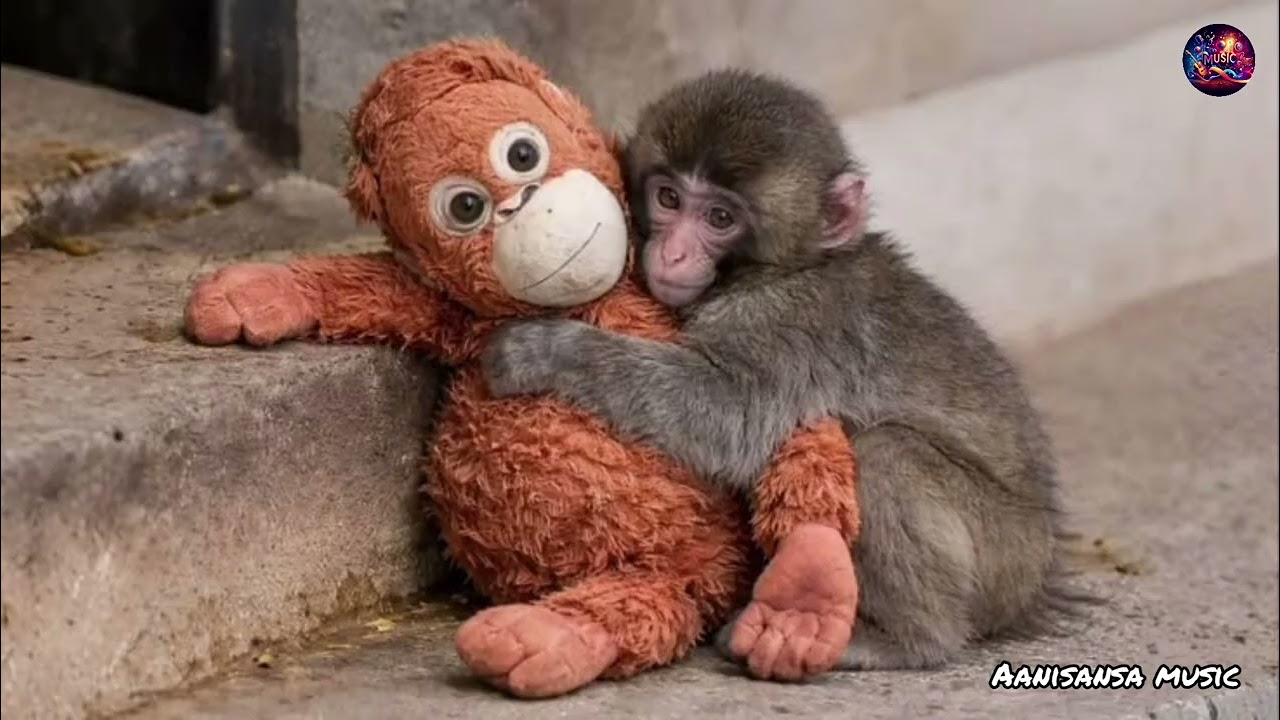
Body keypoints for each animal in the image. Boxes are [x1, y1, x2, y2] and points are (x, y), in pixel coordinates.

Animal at [480, 69, 1090, 673]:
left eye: (720, 217)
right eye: (669, 197)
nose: (673, 255)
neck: (787, 267)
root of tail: (1038, 575)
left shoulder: (790, 322)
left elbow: (730, 415)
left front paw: (544, 348)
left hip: (1005, 554)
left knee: (887, 453)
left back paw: (906, 639)